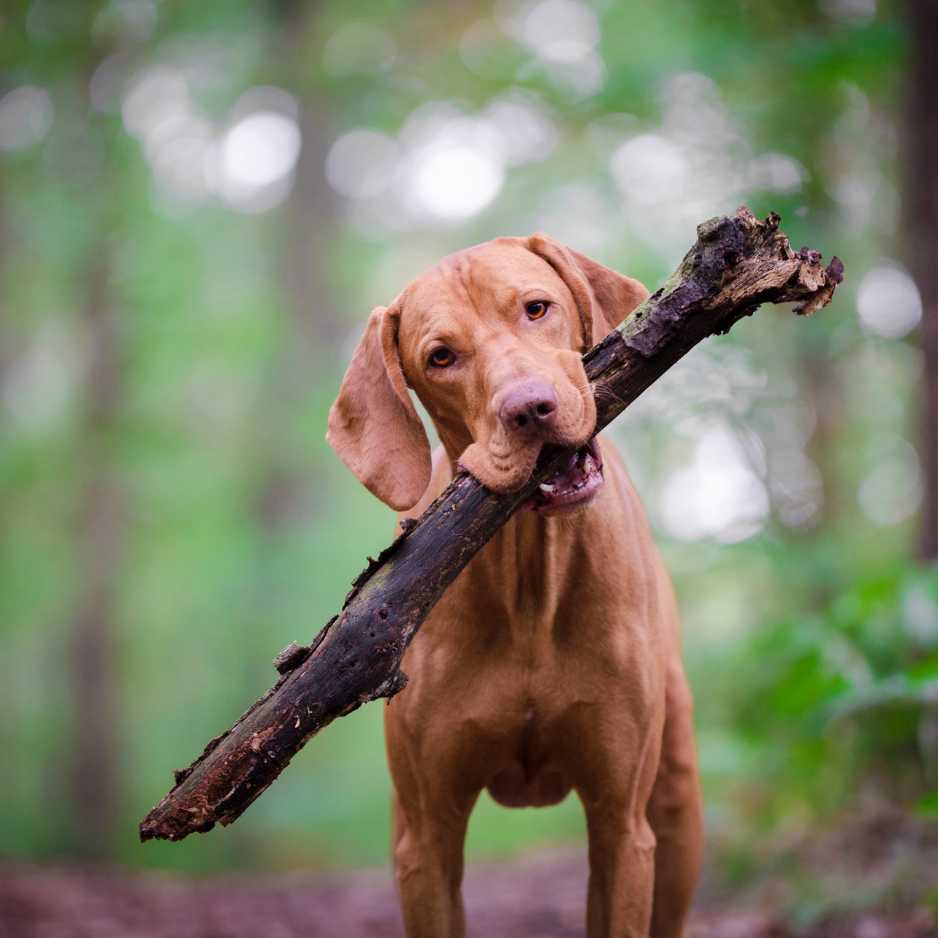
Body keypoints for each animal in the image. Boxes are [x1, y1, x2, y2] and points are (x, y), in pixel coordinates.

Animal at [330, 236, 704, 936]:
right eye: (440, 357)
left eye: (536, 308)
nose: (529, 409)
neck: (530, 578)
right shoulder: (428, 841)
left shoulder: (622, 827)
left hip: (676, 806)